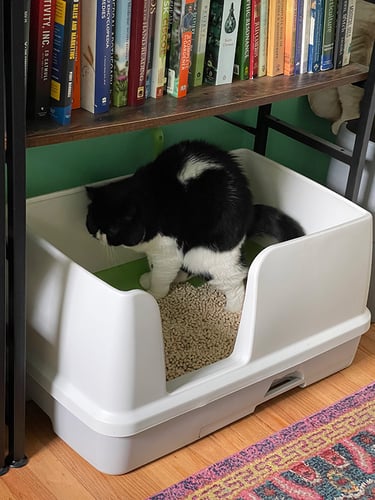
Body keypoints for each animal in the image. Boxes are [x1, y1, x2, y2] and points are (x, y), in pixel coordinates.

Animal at [86, 141, 306, 310]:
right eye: (93, 223)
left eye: (112, 229)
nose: (99, 235)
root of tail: (249, 212)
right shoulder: (156, 249)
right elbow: (154, 266)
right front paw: (149, 278)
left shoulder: (167, 248)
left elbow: (160, 275)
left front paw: (154, 294)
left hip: (208, 255)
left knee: (235, 279)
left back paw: (234, 310)